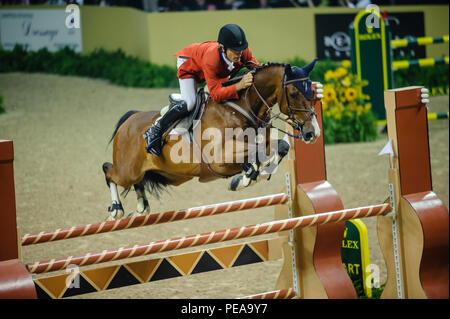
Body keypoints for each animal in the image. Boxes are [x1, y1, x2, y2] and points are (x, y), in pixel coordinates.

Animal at [103, 60, 320, 221]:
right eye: (293, 93)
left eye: (311, 93)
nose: (312, 133)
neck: (242, 108)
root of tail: (129, 119)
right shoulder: (219, 159)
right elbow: (253, 152)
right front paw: (246, 177)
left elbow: (279, 146)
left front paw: (251, 174)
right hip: (128, 171)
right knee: (108, 171)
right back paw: (116, 209)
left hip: (171, 175)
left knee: (137, 181)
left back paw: (141, 206)